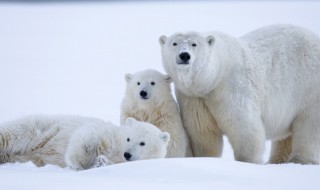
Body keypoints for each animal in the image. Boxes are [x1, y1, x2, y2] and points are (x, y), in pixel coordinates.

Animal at [0, 114, 170, 169]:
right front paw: (78, 162)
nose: (127, 154)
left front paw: (101, 162)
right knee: (16, 132)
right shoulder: (106, 133)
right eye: (128, 138)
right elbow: (87, 137)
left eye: (142, 143)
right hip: (42, 128)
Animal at [159, 24, 320, 165]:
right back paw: (277, 161)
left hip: (308, 86)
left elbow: (244, 127)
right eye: (174, 43)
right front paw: (206, 158)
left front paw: (247, 162)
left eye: (194, 44)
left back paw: (301, 160)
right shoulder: (194, 97)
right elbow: (203, 132)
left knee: (309, 126)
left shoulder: (231, 87)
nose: (184, 56)